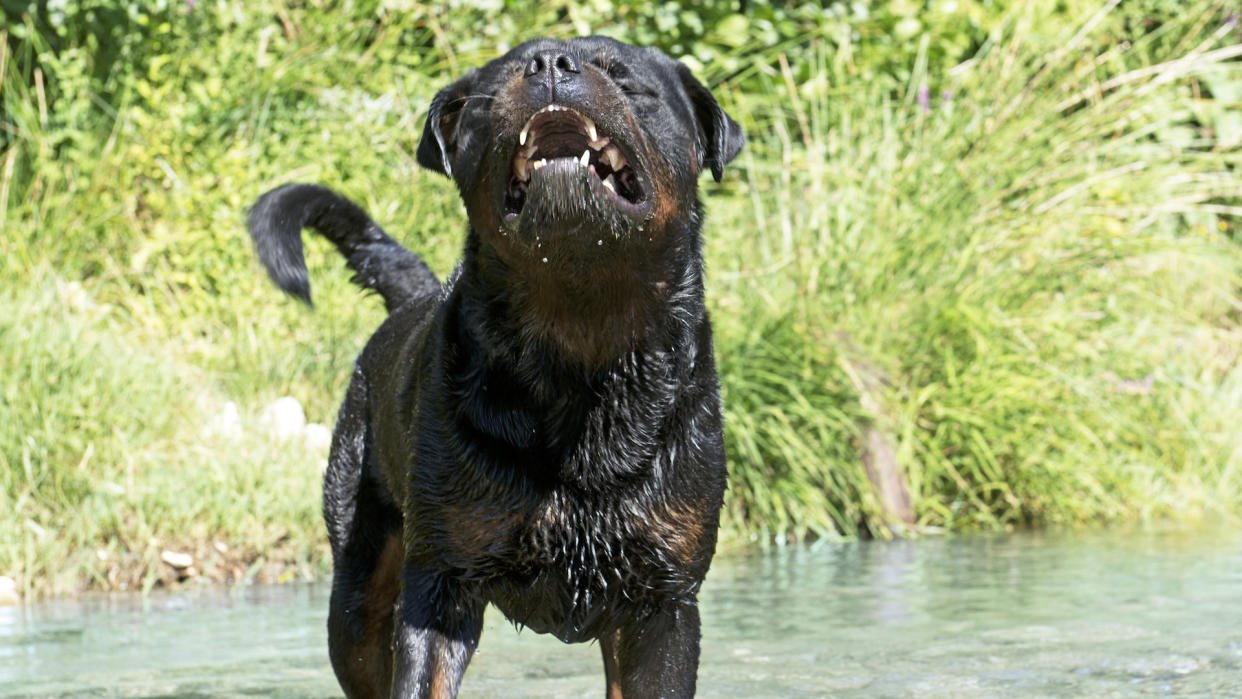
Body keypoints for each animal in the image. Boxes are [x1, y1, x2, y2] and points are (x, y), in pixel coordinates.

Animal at [247, 38, 740, 699]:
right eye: (504, 77)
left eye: (624, 78)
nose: (552, 65)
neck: (579, 344)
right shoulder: (439, 583)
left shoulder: (663, 598)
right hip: (357, 589)